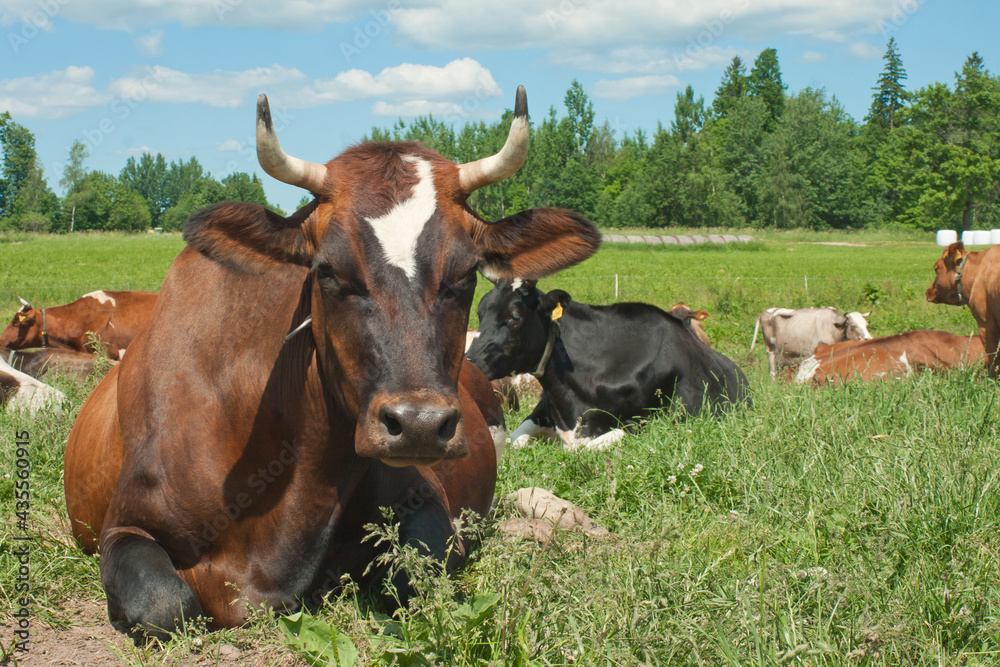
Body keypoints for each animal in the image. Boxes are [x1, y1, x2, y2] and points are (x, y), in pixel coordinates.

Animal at [66, 88, 600, 640]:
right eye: (329, 271)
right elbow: (165, 604)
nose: (419, 425)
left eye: (467, 273)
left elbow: (416, 576)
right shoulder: (125, 525)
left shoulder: (427, 500)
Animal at [468, 280, 752, 452]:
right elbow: (513, 440)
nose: (469, 363)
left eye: (514, 317)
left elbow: (585, 448)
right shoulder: (542, 410)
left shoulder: (647, 420)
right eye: (480, 314)